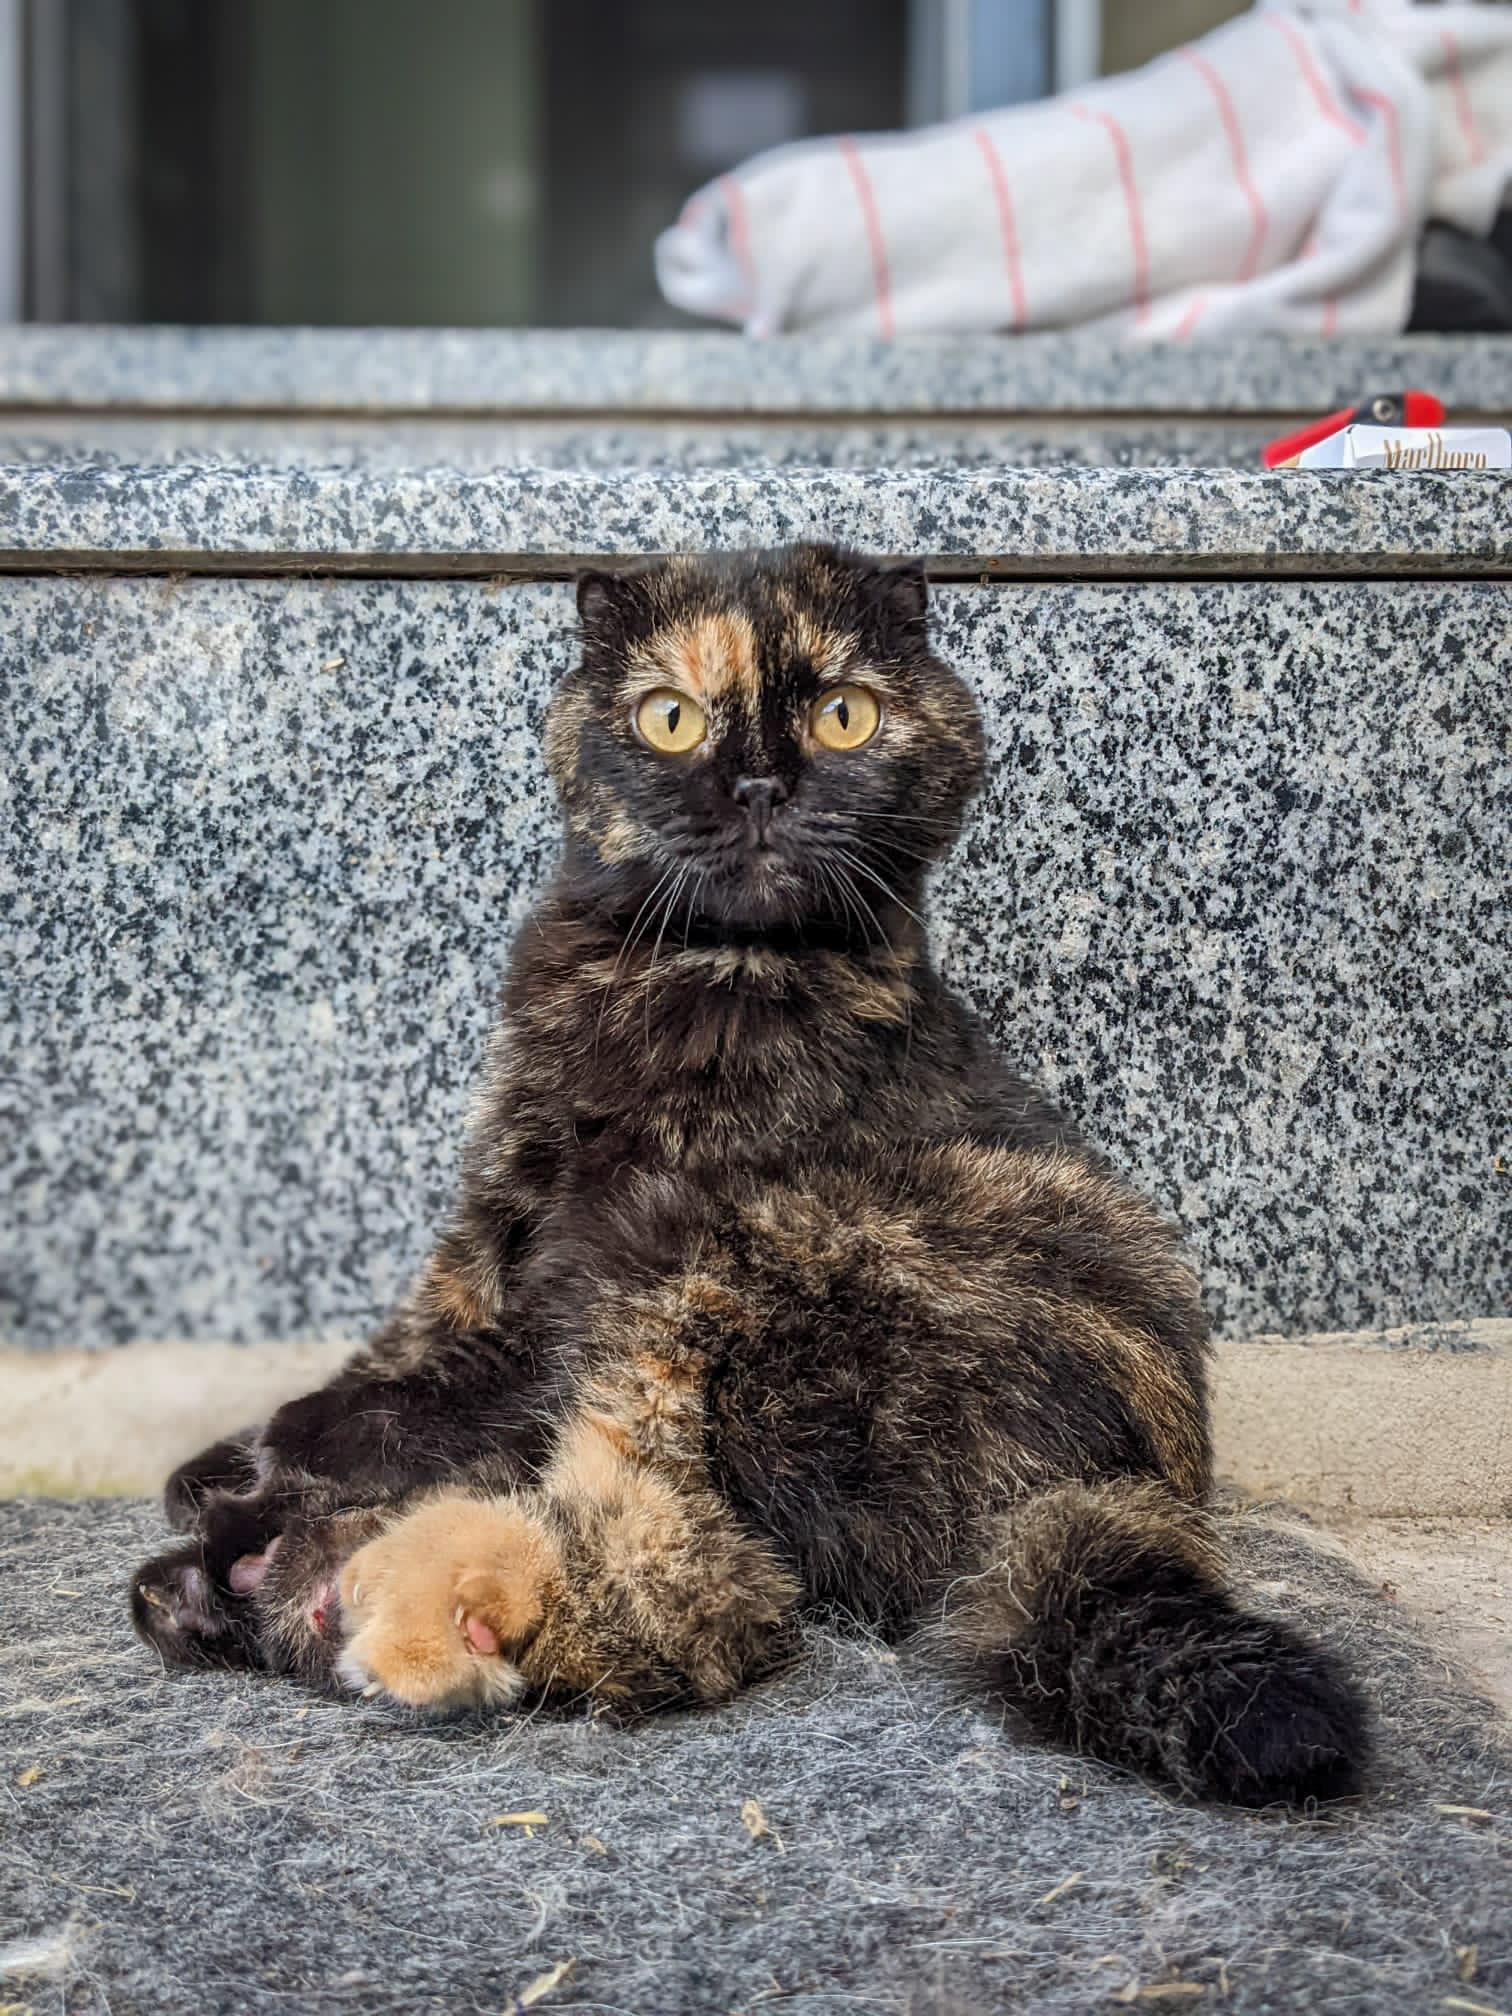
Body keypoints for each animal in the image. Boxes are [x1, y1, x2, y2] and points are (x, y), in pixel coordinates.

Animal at [133, 544, 1370, 1806]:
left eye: (843, 714)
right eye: (670, 718)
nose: (763, 785)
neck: (690, 977)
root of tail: (1128, 1485)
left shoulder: (608, 1245)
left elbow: (473, 1373)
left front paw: (287, 1456)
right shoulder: (505, 1192)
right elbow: (422, 1330)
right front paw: (238, 1463)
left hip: (738, 1262)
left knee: (694, 1593)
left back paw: (380, 1603)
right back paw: (250, 1581)